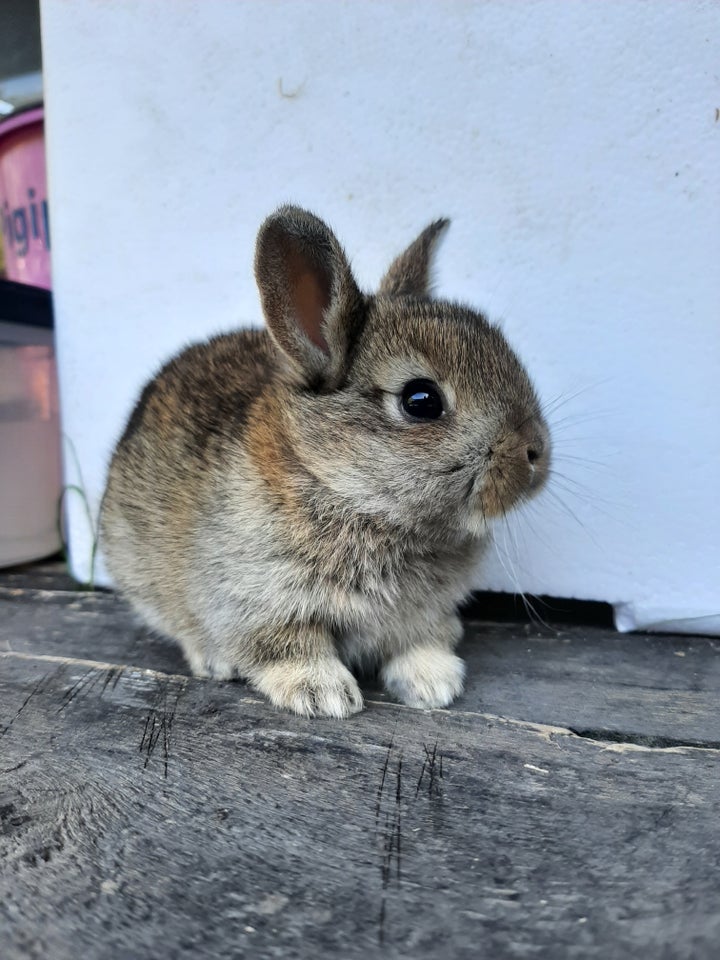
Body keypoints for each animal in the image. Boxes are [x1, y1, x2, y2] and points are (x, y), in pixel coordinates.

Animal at [101, 206, 548, 716]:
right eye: (421, 400)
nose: (537, 453)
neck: (343, 486)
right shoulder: (257, 601)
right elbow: (290, 644)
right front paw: (324, 695)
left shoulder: (423, 613)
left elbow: (419, 640)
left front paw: (433, 684)